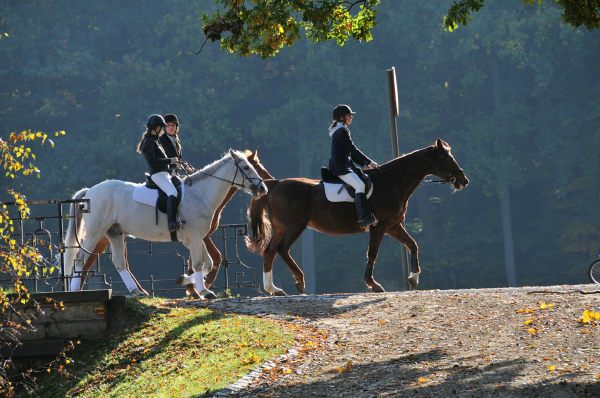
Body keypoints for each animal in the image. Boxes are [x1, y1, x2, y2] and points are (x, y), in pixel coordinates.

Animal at [63, 150, 268, 298]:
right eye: (246, 167)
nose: (263, 188)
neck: (199, 195)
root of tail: (90, 191)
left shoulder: (197, 238)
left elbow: (208, 264)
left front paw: (185, 280)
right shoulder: (195, 238)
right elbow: (200, 264)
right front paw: (203, 291)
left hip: (115, 233)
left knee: (120, 263)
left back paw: (137, 291)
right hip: (95, 233)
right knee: (80, 259)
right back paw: (74, 292)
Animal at [245, 138, 468, 294]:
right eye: (447, 158)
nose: (463, 180)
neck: (392, 182)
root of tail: (275, 184)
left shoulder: (392, 226)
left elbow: (413, 245)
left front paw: (413, 279)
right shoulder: (379, 226)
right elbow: (372, 253)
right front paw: (373, 284)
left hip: (281, 227)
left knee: (270, 251)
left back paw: (275, 289)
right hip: (294, 226)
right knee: (281, 249)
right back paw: (298, 281)